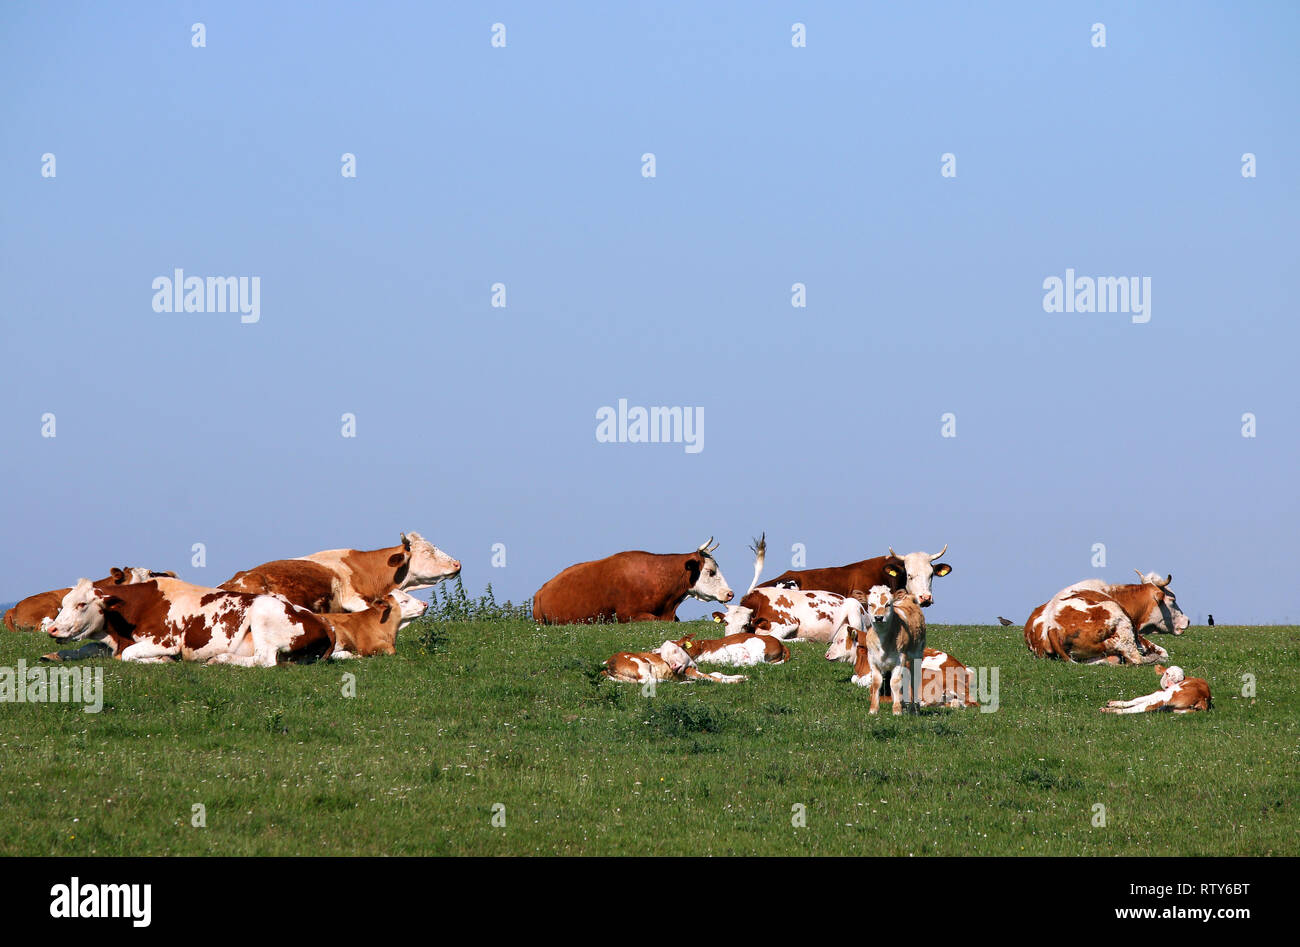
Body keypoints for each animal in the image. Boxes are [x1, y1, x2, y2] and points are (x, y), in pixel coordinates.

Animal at [45, 577, 335, 666]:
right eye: (64, 603)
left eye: (82, 604)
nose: (53, 629)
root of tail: (324, 623)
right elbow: (86, 647)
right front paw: (53, 655)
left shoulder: (166, 641)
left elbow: (128, 655)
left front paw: (161, 660)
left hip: (263, 611)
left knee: (265, 660)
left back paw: (220, 659)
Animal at [601, 640, 746, 684]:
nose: (674, 667)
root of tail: (608, 662)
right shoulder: (689, 671)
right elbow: (711, 677)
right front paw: (735, 681)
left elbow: (717, 673)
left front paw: (741, 676)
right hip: (642, 664)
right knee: (650, 681)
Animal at [848, 586, 927, 714]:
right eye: (870, 604)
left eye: (888, 604)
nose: (878, 617)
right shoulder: (872, 659)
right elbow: (876, 682)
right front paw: (873, 709)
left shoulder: (900, 658)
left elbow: (895, 682)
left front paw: (896, 710)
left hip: (917, 656)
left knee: (914, 680)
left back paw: (914, 708)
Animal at [1023, 572, 1186, 665]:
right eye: (1172, 600)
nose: (1187, 621)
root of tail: (1052, 626)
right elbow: (1163, 653)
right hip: (1119, 625)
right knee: (1136, 659)